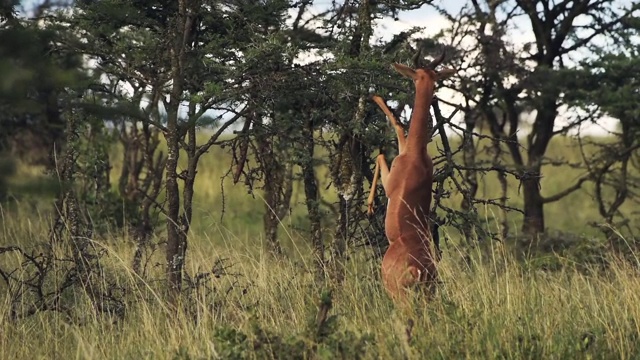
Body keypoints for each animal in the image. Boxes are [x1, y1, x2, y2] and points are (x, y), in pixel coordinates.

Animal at [370, 50, 456, 302]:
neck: (416, 154)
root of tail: (418, 269)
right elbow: (400, 131)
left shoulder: (390, 181)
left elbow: (383, 151)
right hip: (429, 295)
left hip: (399, 296)